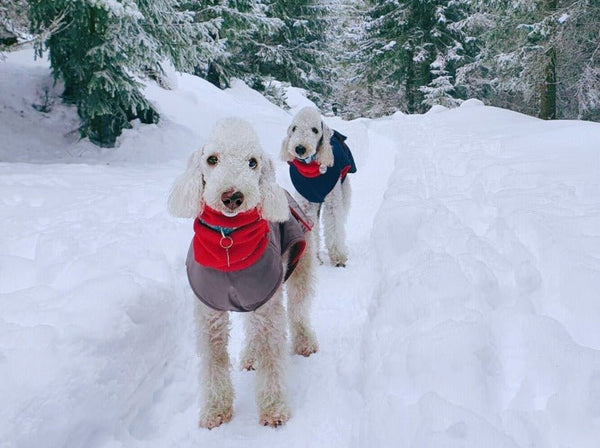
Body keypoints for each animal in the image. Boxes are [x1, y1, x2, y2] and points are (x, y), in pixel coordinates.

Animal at [168, 117, 318, 428]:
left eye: (252, 162)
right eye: (212, 159)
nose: (232, 197)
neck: (229, 241)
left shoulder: (267, 302)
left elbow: (271, 356)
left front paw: (274, 411)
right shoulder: (210, 312)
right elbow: (214, 360)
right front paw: (215, 411)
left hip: (298, 268)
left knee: (298, 310)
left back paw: (304, 343)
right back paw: (251, 356)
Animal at [282, 107, 356, 268]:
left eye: (315, 130)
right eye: (294, 128)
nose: (300, 148)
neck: (311, 168)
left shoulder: (332, 199)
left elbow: (334, 222)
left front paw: (338, 258)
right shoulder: (306, 201)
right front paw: (314, 259)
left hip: (343, 189)